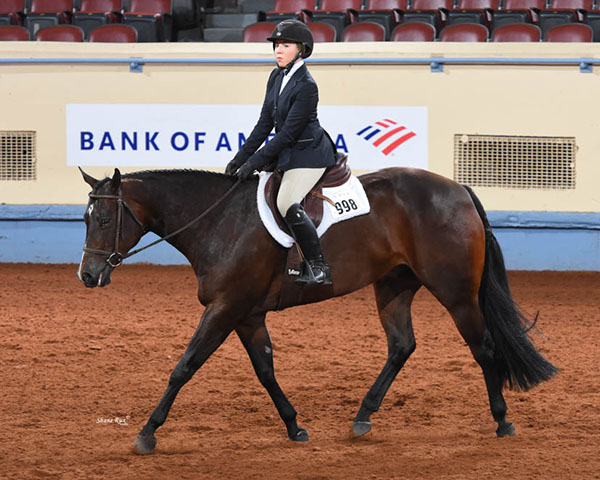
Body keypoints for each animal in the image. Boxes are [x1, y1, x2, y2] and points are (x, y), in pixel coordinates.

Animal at [76, 167, 556, 456]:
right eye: (84, 219)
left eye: (104, 220)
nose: (87, 274)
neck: (220, 222)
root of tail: (459, 190)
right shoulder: (246, 315)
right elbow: (265, 371)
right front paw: (294, 427)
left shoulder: (225, 308)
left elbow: (184, 366)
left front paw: (147, 433)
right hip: (394, 285)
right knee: (402, 346)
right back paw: (362, 417)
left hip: (456, 293)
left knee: (484, 348)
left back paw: (502, 421)